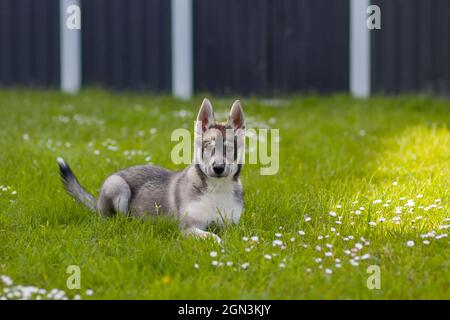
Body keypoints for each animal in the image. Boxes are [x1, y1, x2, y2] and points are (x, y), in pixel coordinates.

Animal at [58, 99, 246, 241]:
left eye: (230, 147)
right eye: (208, 145)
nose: (218, 168)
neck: (217, 187)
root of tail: (97, 203)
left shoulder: (232, 224)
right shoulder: (188, 227)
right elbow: (212, 236)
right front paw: (219, 243)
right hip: (117, 186)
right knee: (118, 219)